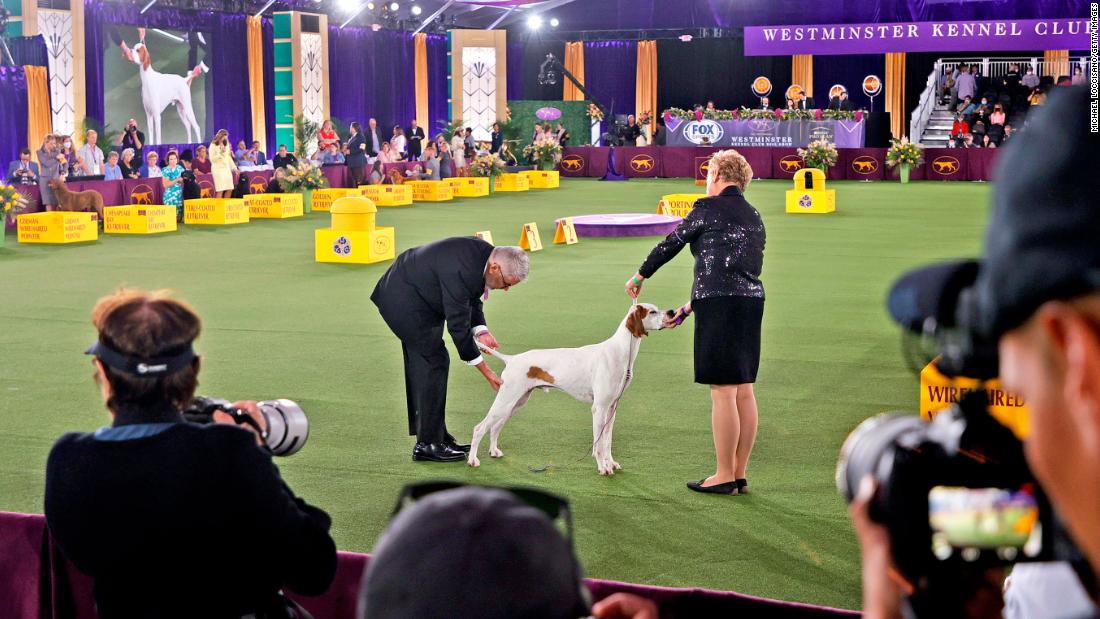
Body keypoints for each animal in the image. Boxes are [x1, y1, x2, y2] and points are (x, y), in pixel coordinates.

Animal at [464, 303, 668, 477]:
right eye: (652, 312)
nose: (671, 313)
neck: (620, 352)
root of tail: (512, 359)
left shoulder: (612, 408)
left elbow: (608, 442)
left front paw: (611, 463)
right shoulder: (599, 408)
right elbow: (599, 445)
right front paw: (603, 467)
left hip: (515, 403)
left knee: (495, 427)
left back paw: (494, 451)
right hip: (505, 401)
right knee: (479, 428)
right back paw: (473, 460)